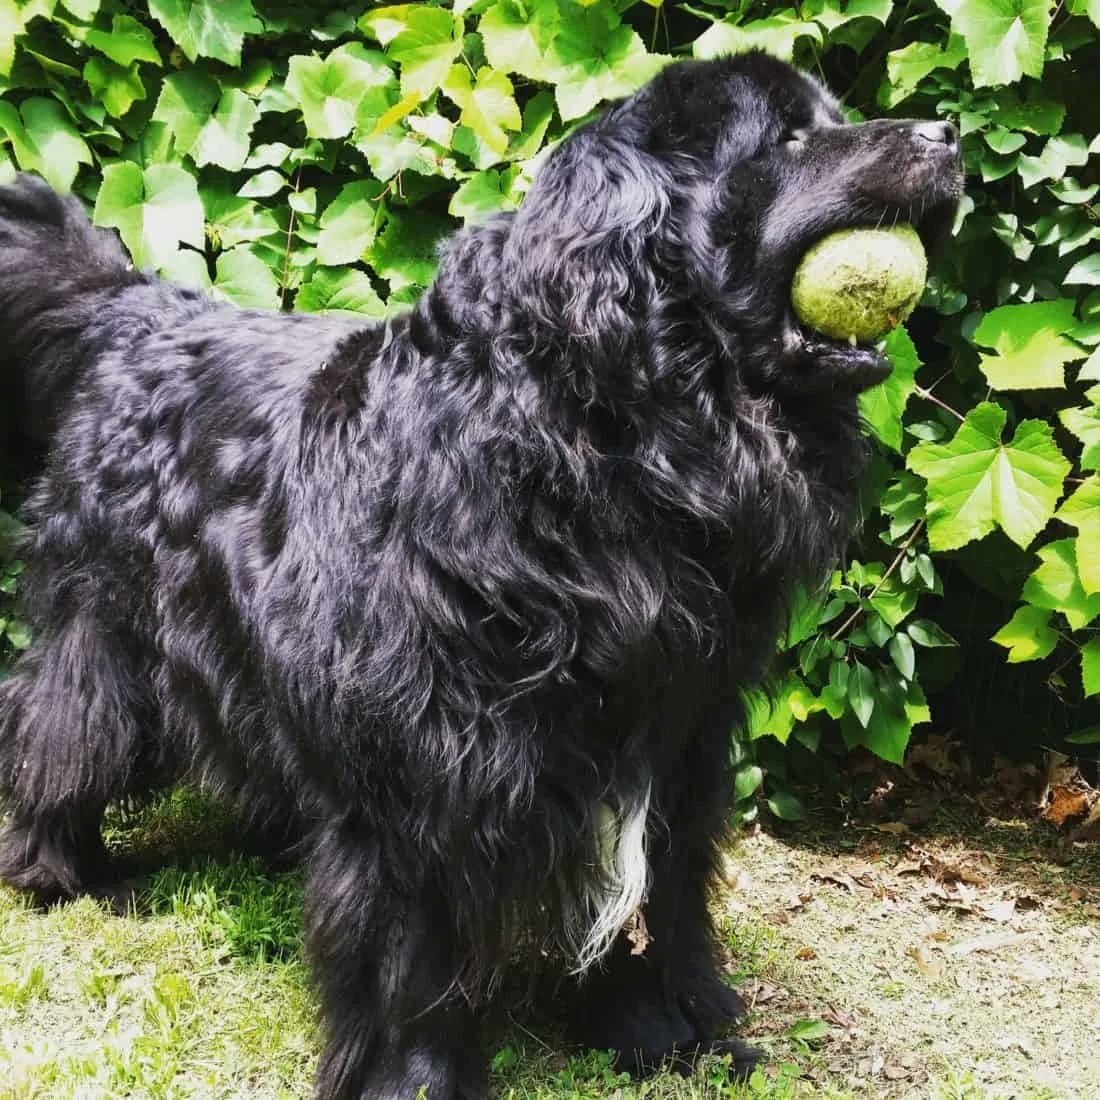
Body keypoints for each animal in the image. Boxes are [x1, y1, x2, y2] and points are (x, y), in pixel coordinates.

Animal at [0, 49, 963, 1100]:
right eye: (788, 138)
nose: (948, 133)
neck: (607, 443)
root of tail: (140, 307)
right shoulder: (429, 747)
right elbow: (410, 942)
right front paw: (415, 1077)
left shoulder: (677, 723)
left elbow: (666, 891)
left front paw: (675, 1028)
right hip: (109, 623)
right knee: (60, 721)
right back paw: (56, 869)